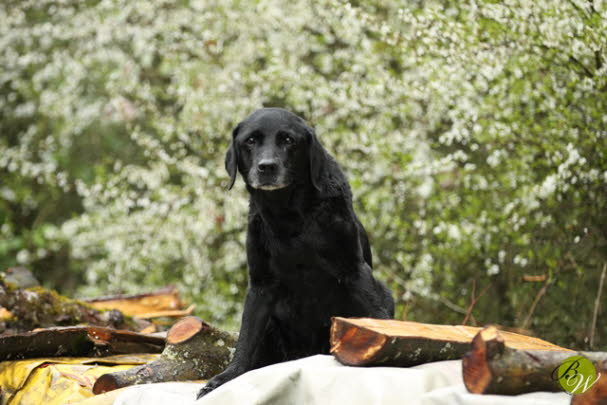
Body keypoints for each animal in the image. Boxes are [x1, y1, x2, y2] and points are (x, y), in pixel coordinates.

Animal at [195, 107, 394, 398]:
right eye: (250, 141)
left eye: (288, 140)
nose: (267, 167)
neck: (288, 216)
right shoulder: (261, 286)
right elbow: (245, 339)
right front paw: (224, 379)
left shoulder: (354, 270)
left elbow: (377, 317)